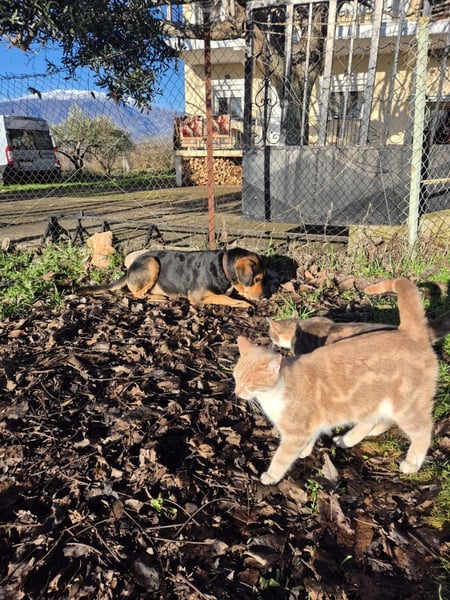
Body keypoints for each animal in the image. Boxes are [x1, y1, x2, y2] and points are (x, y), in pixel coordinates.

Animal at [77, 247, 266, 307]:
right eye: (257, 279)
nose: (264, 296)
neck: (222, 267)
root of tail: (129, 268)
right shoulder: (196, 296)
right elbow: (222, 298)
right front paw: (242, 303)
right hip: (152, 262)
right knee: (136, 294)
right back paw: (160, 298)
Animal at [233, 278, 439, 485]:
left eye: (248, 383)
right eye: (235, 378)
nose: (236, 392)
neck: (279, 388)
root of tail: (408, 333)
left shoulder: (295, 434)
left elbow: (282, 457)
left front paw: (271, 475)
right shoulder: (311, 426)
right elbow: (311, 438)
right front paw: (305, 451)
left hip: (406, 406)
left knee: (423, 431)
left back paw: (411, 464)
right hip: (370, 401)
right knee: (372, 421)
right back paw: (347, 439)